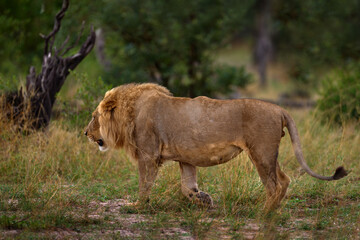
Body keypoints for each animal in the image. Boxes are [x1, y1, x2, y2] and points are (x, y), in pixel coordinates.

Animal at [84, 83, 348, 210]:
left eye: (94, 116)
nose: (85, 133)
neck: (130, 112)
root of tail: (280, 109)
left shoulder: (148, 155)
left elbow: (144, 184)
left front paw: (138, 205)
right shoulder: (185, 158)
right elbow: (186, 186)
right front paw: (204, 199)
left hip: (260, 152)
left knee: (275, 185)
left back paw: (263, 213)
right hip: (269, 154)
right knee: (284, 180)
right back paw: (272, 211)